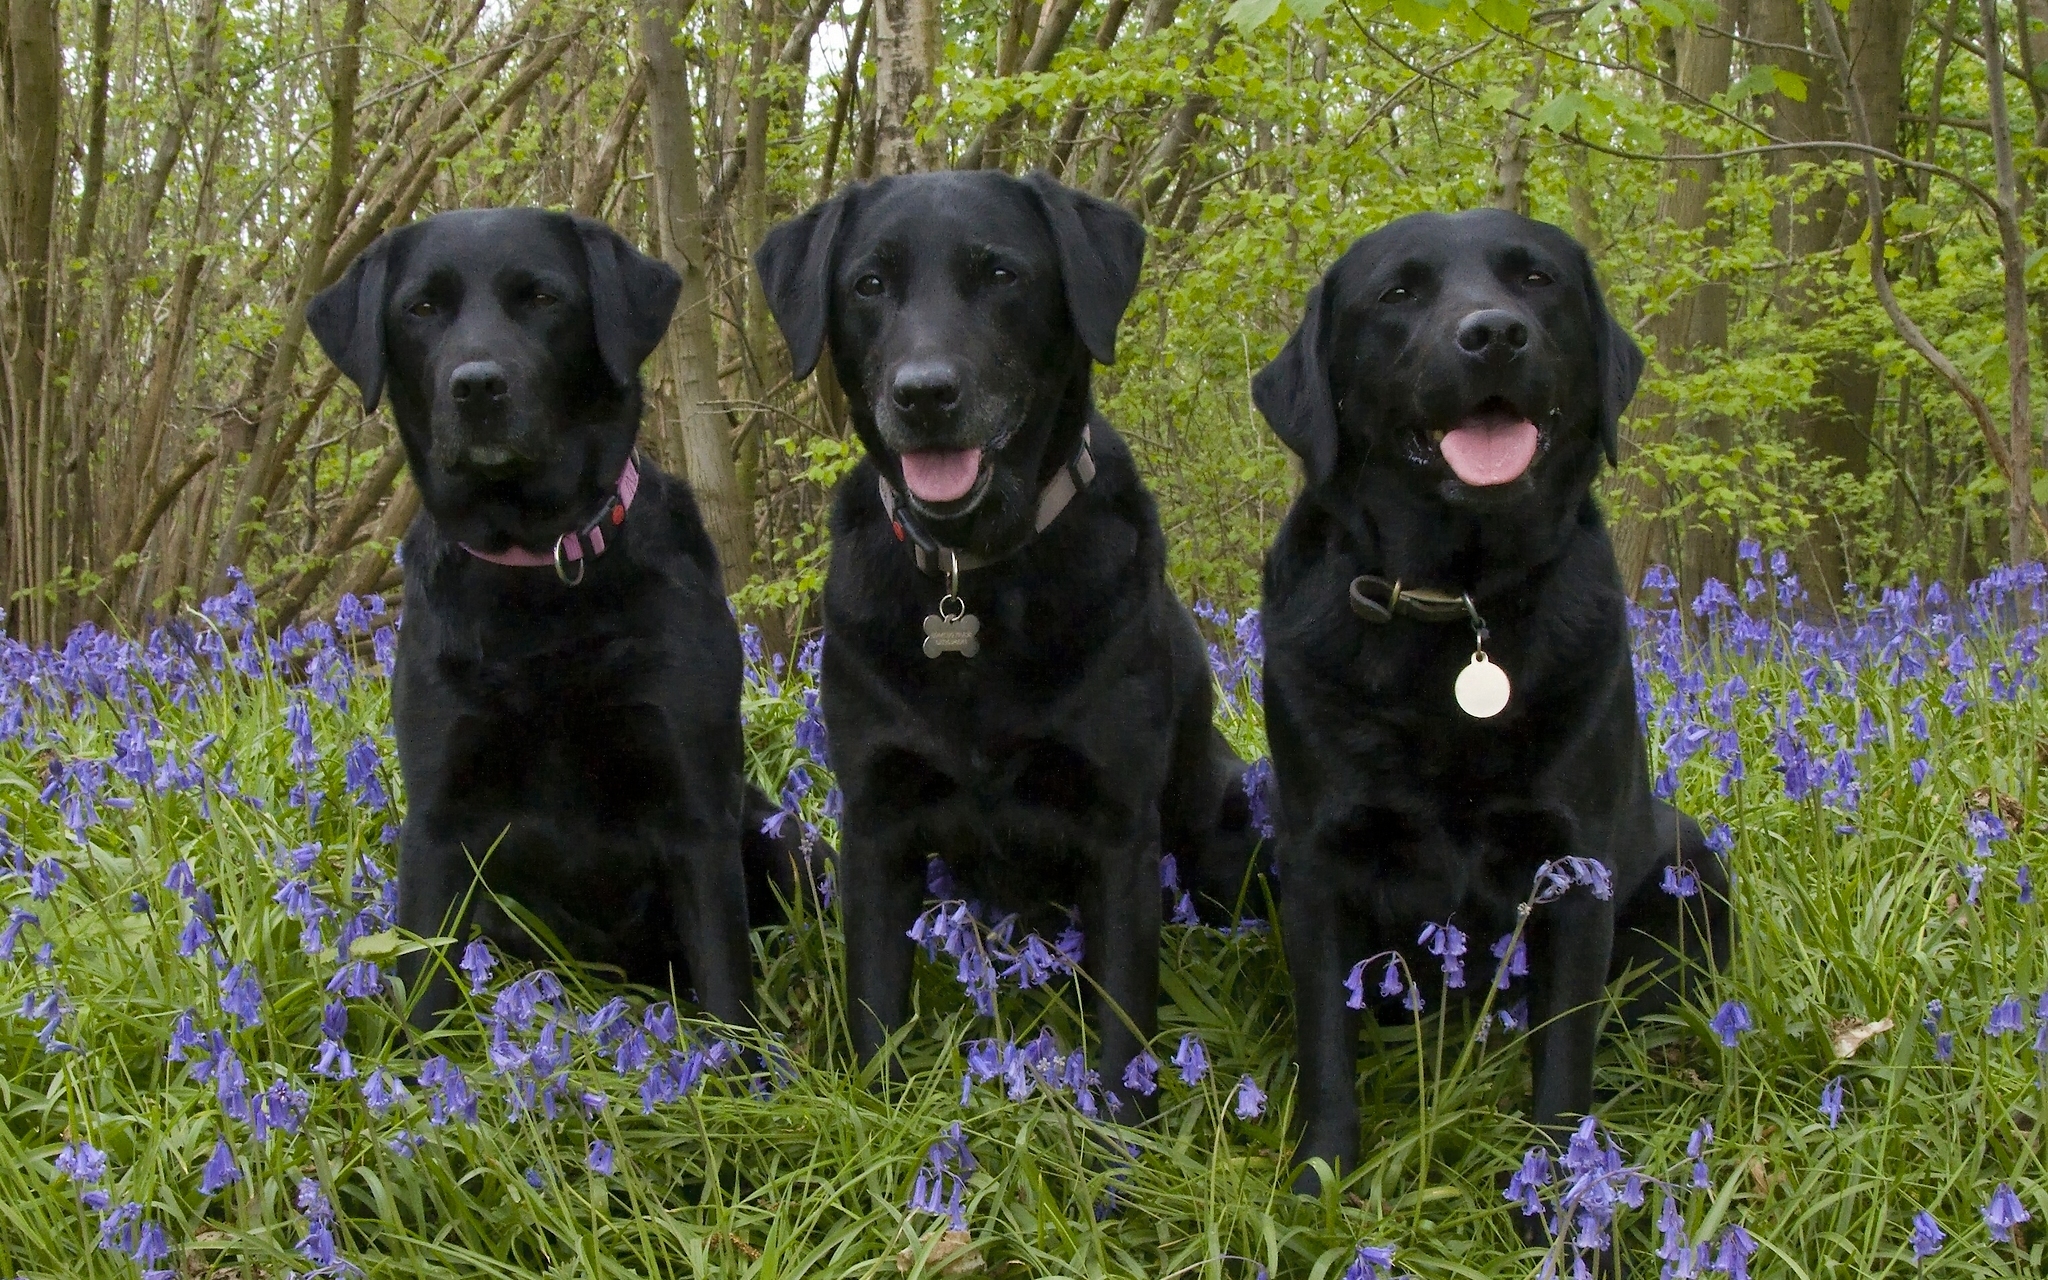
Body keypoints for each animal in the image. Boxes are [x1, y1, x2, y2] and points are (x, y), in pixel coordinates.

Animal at [757, 164, 1261, 1089]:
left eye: (1000, 274)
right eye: (869, 284)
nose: (924, 394)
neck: (972, 577)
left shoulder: (1117, 831)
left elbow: (1121, 1030)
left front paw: (1121, 1126)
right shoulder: (876, 823)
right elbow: (875, 1010)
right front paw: (882, 1113)